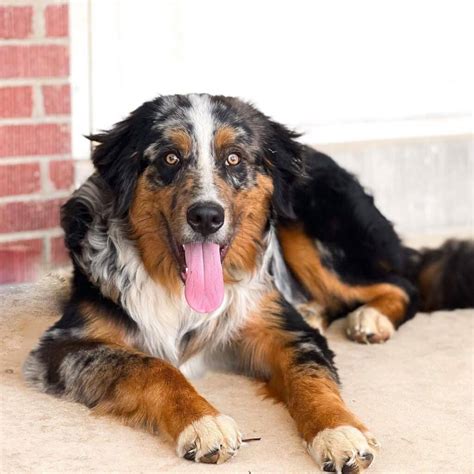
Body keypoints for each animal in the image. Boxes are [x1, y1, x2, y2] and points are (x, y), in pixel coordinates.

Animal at [23, 92, 474, 470]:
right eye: (170, 158)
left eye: (235, 159)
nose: (207, 217)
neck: (178, 289)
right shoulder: (64, 345)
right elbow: (154, 366)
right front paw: (204, 423)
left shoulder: (281, 329)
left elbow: (311, 377)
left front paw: (340, 431)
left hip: (310, 229)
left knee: (403, 283)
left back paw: (370, 319)